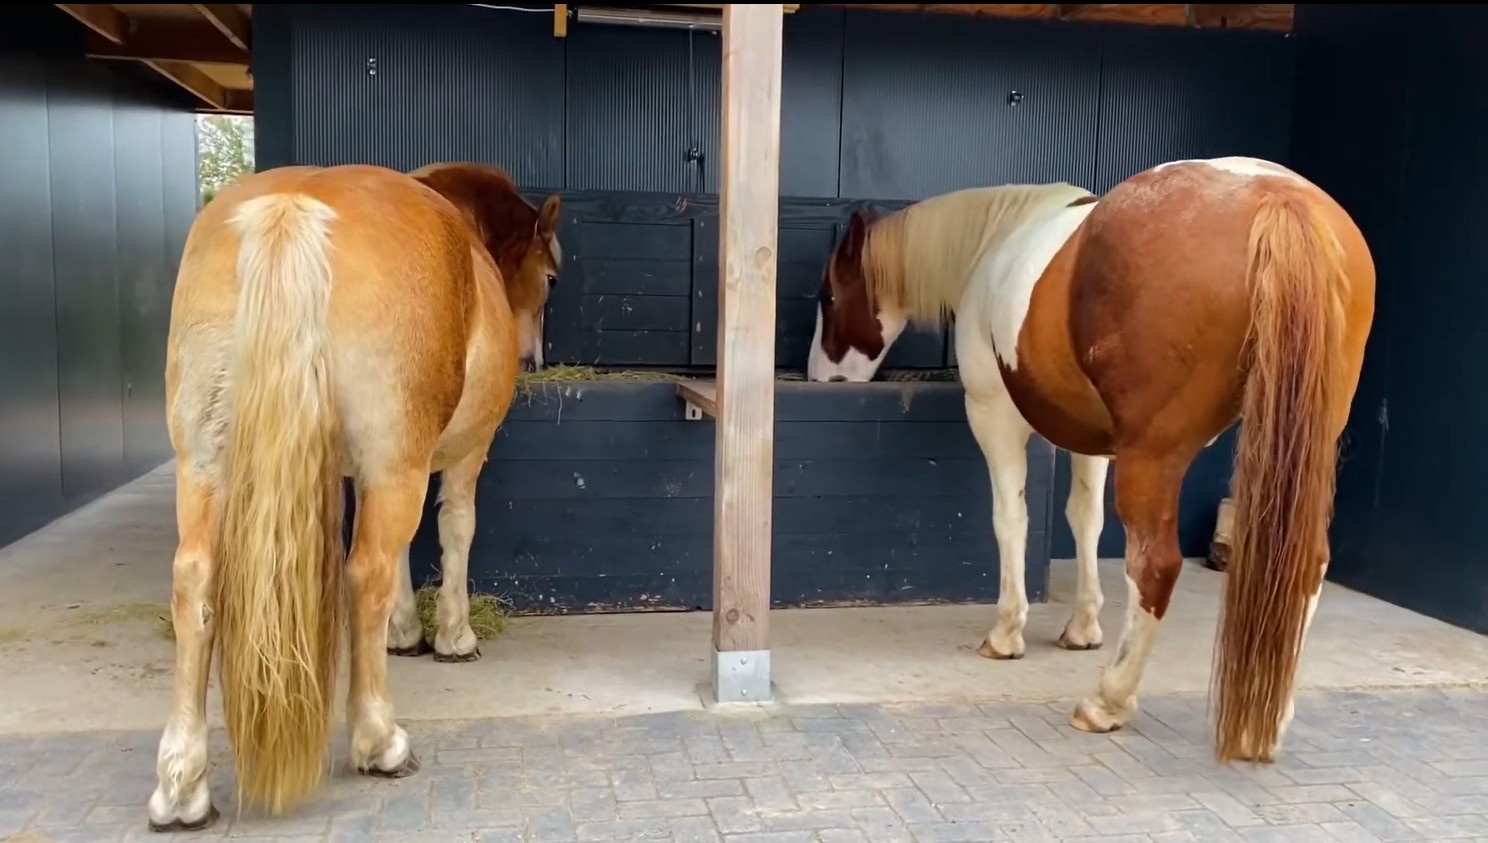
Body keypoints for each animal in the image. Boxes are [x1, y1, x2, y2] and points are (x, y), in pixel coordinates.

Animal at [146, 161, 562, 831]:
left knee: (195, 582)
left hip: (204, 465)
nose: (534, 358)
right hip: (394, 466)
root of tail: (293, 206)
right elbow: (454, 530)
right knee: (364, 573)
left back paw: (182, 786)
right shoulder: (450, 457)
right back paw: (380, 741)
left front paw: (404, 631)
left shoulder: (359, 470)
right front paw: (451, 637)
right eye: (550, 276)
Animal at [807, 156, 1375, 763]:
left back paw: (1109, 700)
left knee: (1155, 566)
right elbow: (1085, 520)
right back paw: (1267, 721)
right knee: (1306, 563)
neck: (996, 239)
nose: (820, 377)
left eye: (829, 296)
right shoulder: (1096, 441)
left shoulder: (994, 415)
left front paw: (1007, 633)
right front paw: (1082, 627)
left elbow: (1011, 519)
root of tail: (1278, 201)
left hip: (1155, 455)